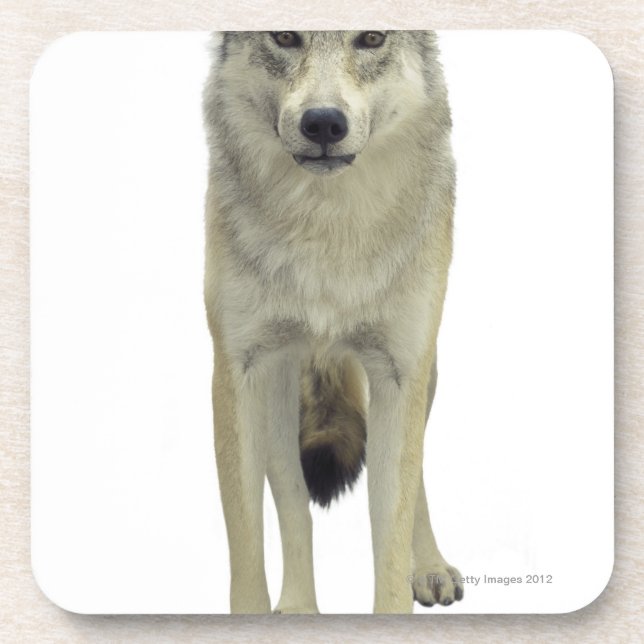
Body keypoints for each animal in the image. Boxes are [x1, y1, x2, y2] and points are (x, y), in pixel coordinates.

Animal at [202, 30, 463, 614]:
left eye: (372, 37)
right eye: (284, 36)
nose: (323, 123)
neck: (327, 227)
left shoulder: (399, 372)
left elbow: (391, 536)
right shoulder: (238, 373)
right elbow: (253, 543)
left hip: (425, 373)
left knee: (415, 477)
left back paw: (431, 568)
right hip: (280, 385)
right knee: (292, 495)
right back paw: (300, 608)